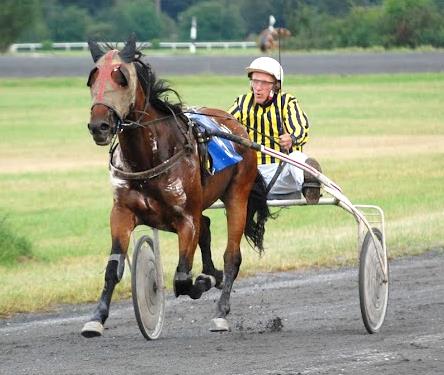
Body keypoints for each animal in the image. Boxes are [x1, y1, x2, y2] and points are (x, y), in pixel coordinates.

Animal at [80, 36, 270, 338]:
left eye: (122, 78)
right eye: (92, 78)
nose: (99, 125)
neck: (148, 156)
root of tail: (236, 125)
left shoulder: (185, 218)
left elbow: (182, 278)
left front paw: (202, 282)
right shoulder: (122, 213)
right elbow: (113, 268)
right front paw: (96, 318)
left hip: (237, 195)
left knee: (232, 256)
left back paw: (220, 310)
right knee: (206, 226)